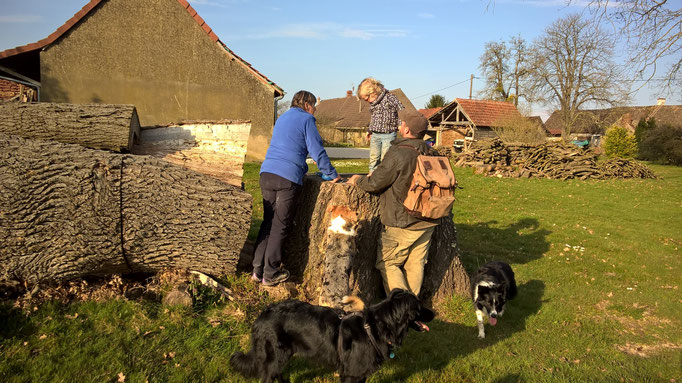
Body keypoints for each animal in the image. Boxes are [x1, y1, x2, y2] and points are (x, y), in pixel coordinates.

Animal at [228, 290, 430, 382]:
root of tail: (261, 316)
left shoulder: (361, 372)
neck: (374, 327)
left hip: (281, 356)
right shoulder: (351, 373)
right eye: (419, 306)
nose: (434, 313)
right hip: (275, 355)